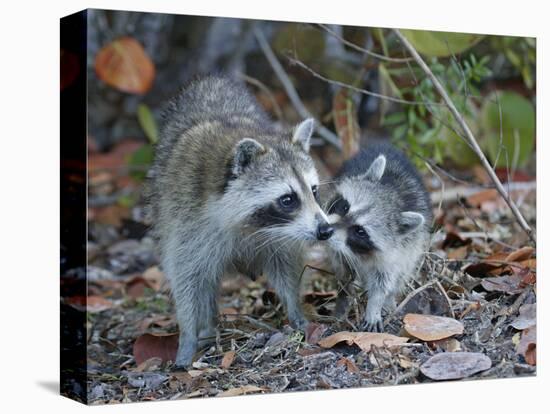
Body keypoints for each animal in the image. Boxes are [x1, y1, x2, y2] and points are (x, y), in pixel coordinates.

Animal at [148, 74, 336, 366]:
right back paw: (207, 327)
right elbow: (187, 278)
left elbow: (286, 267)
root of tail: (210, 80)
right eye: (288, 199)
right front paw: (188, 336)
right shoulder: (186, 219)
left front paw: (295, 311)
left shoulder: (282, 235)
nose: (326, 230)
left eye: (313, 191)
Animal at [326, 144, 434, 332]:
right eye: (345, 207)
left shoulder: (398, 249)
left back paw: (389, 302)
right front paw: (343, 298)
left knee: (402, 272)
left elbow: (383, 280)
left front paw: (375, 305)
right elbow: (342, 271)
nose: (324, 230)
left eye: (360, 231)